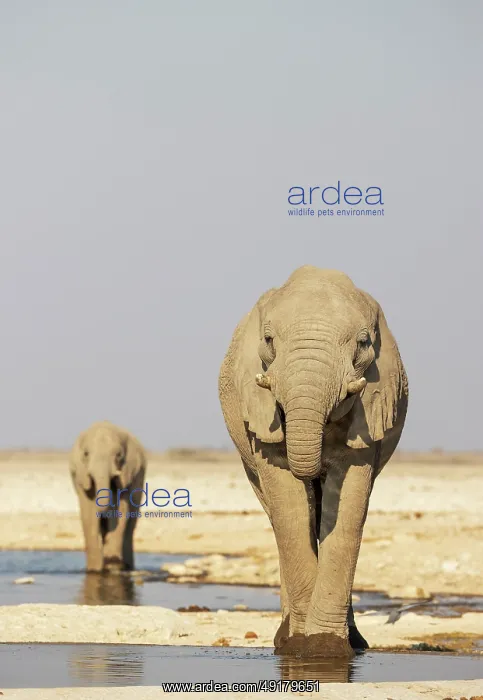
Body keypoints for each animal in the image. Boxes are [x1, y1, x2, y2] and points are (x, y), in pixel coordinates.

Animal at [69, 421, 147, 573]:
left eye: (119, 454)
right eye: (86, 454)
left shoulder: (127, 475)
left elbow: (121, 511)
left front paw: (113, 567)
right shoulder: (81, 477)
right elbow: (88, 514)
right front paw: (94, 570)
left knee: (131, 525)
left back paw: (127, 567)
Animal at [218, 266, 408, 658]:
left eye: (363, 344)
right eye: (268, 340)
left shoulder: (370, 408)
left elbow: (347, 510)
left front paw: (325, 649)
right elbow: (290, 510)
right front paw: (299, 648)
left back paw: (355, 642)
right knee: (280, 517)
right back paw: (284, 636)